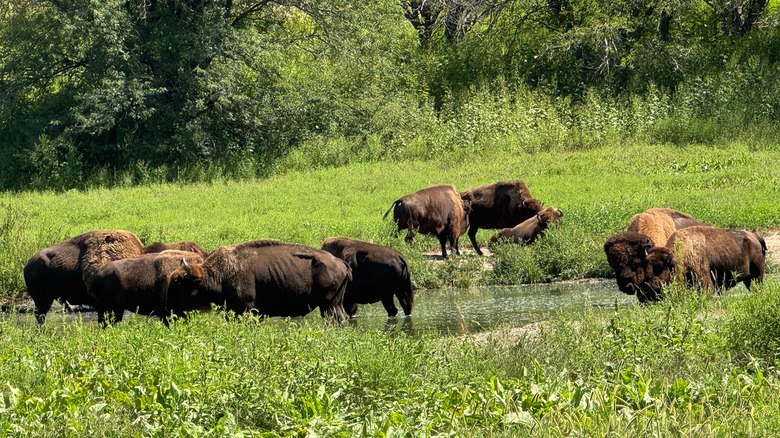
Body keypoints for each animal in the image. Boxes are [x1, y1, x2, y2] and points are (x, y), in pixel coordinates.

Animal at [165, 240, 352, 322]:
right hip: (333, 304)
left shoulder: (249, 310)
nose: (168, 308)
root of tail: (341, 263)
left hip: (329, 305)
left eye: (179, 283)